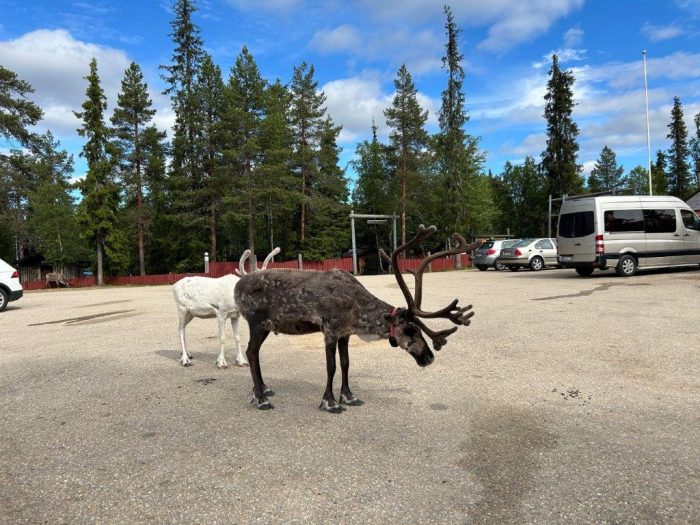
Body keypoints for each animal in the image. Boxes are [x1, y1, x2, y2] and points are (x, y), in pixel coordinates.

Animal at [234, 225, 479, 412]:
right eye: (410, 329)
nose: (429, 357)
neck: (357, 309)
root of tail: (237, 285)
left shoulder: (345, 334)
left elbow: (346, 364)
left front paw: (350, 397)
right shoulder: (330, 330)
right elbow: (331, 366)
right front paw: (330, 402)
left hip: (265, 326)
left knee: (255, 352)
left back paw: (263, 389)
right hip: (255, 321)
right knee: (250, 352)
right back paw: (261, 399)